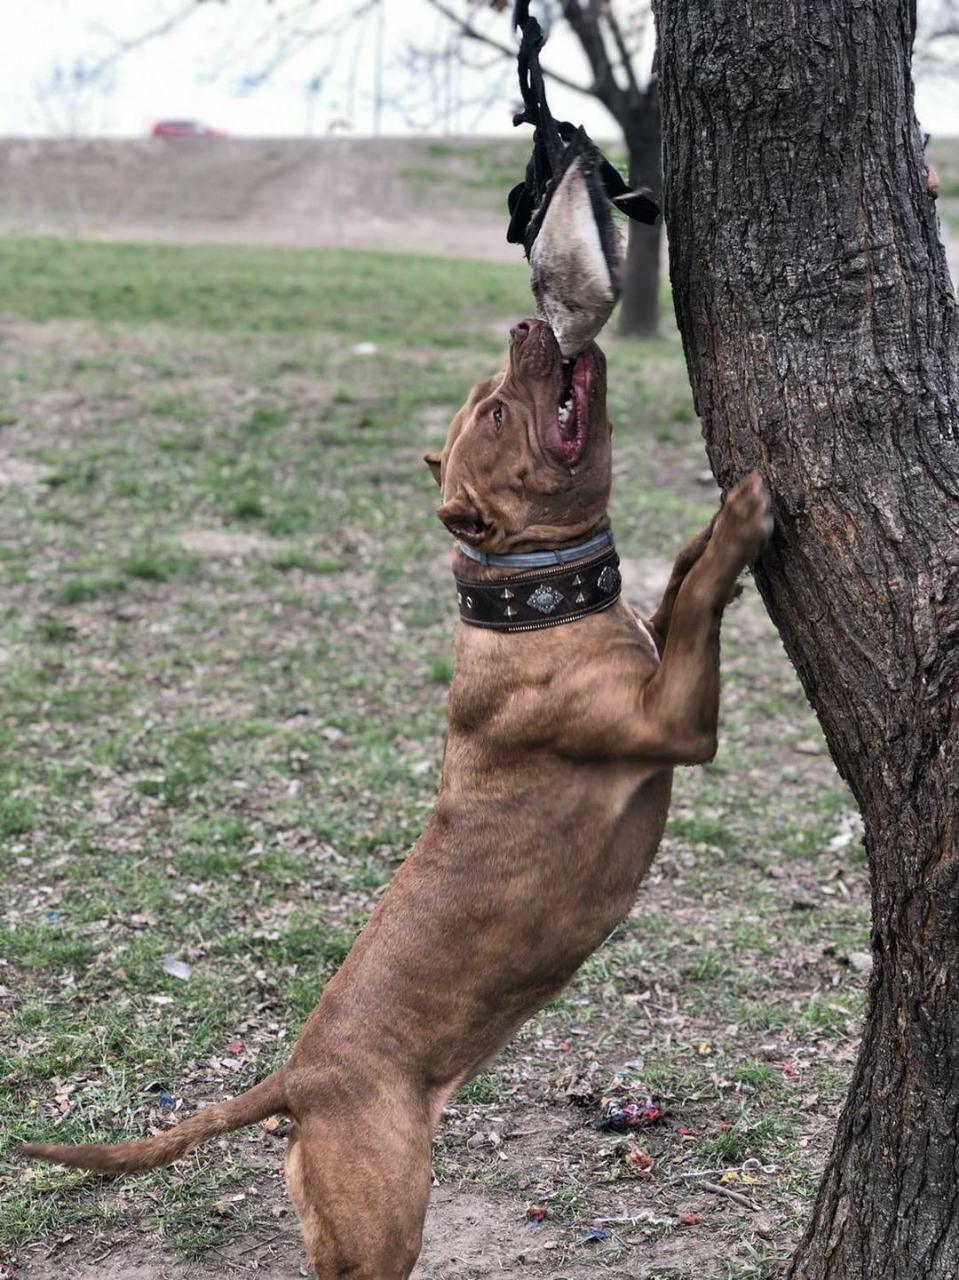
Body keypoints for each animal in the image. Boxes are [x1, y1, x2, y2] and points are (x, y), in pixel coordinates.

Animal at [20, 317, 768, 1269]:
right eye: (497, 411)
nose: (527, 323)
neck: (533, 604)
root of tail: (296, 1076)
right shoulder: (676, 724)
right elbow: (701, 605)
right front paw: (739, 520)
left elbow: (678, 587)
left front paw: (700, 538)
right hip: (381, 1219)